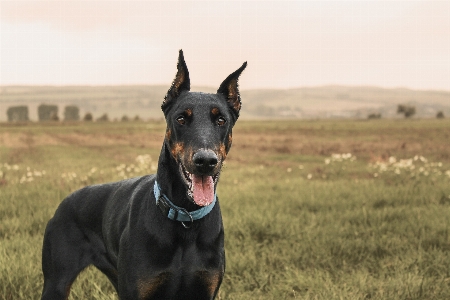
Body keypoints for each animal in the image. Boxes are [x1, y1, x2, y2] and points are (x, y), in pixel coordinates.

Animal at [41, 50, 246, 298]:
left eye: (221, 120)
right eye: (181, 118)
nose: (205, 161)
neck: (185, 218)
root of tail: (64, 203)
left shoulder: (205, 289)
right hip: (57, 281)